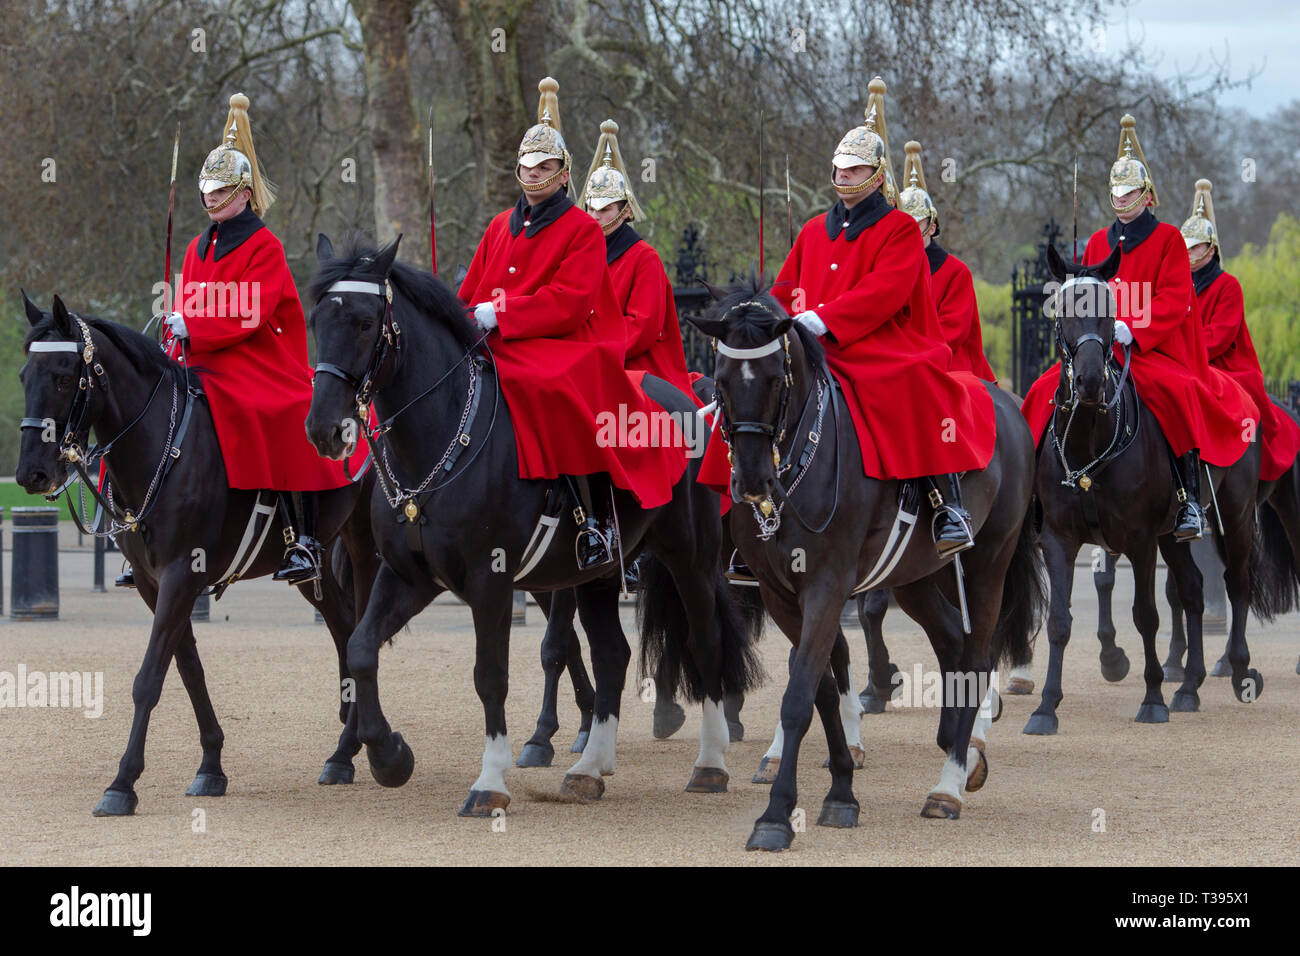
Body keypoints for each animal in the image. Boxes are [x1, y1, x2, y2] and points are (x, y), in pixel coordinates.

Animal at [16, 294, 380, 816]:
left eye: (65, 376)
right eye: (24, 375)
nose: (31, 474)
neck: (164, 447)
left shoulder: (181, 575)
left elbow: (149, 677)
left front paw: (122, 783)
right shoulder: (154, 583)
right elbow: (188, 668)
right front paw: (211, 764)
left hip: (365, 548)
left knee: (361, 632)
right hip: (319, 571)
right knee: (343, 629)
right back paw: (343, 752)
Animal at [302, 235, 763, 815]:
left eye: (365, 322)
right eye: (316, 320)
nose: (323, 429)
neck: (442, 438)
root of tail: (687, 397)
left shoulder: (491, 581)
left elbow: (490, 676)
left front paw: (489, 780)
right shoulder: (408, 575)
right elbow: (362, 648)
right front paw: (390, 757)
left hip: (691, 561)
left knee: (705, 644)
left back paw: (710, 763)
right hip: (599, 574)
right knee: (613, 653)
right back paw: (589, 769)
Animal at [688, 278, 1043, 852]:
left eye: (774, 378)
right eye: (720, 380)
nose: (753, 482)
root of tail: (1005, 399)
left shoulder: (827, 587)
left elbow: (799, 695)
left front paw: (776, 815)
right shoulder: (780, 593)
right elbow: (821, 689)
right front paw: (840, 791)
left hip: (987, 564)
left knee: (976, 653)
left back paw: (948, 784)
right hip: (916, 576)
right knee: (951, 640)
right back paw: (959, 750)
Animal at [1022, 244, 1280, 737]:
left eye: (1110, 311)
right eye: (1062, 310)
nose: (1089, 382)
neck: (1090, 439)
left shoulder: (1140, 540)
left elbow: (1146, 615)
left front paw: (1153, 697)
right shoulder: (1057, 540)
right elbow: (1061, 620)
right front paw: (1046, 707)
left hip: (1234, 517)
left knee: (1235, 584)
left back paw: (1238, 669)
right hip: (1172, 535)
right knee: (1194, 588)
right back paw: (1190, 685)